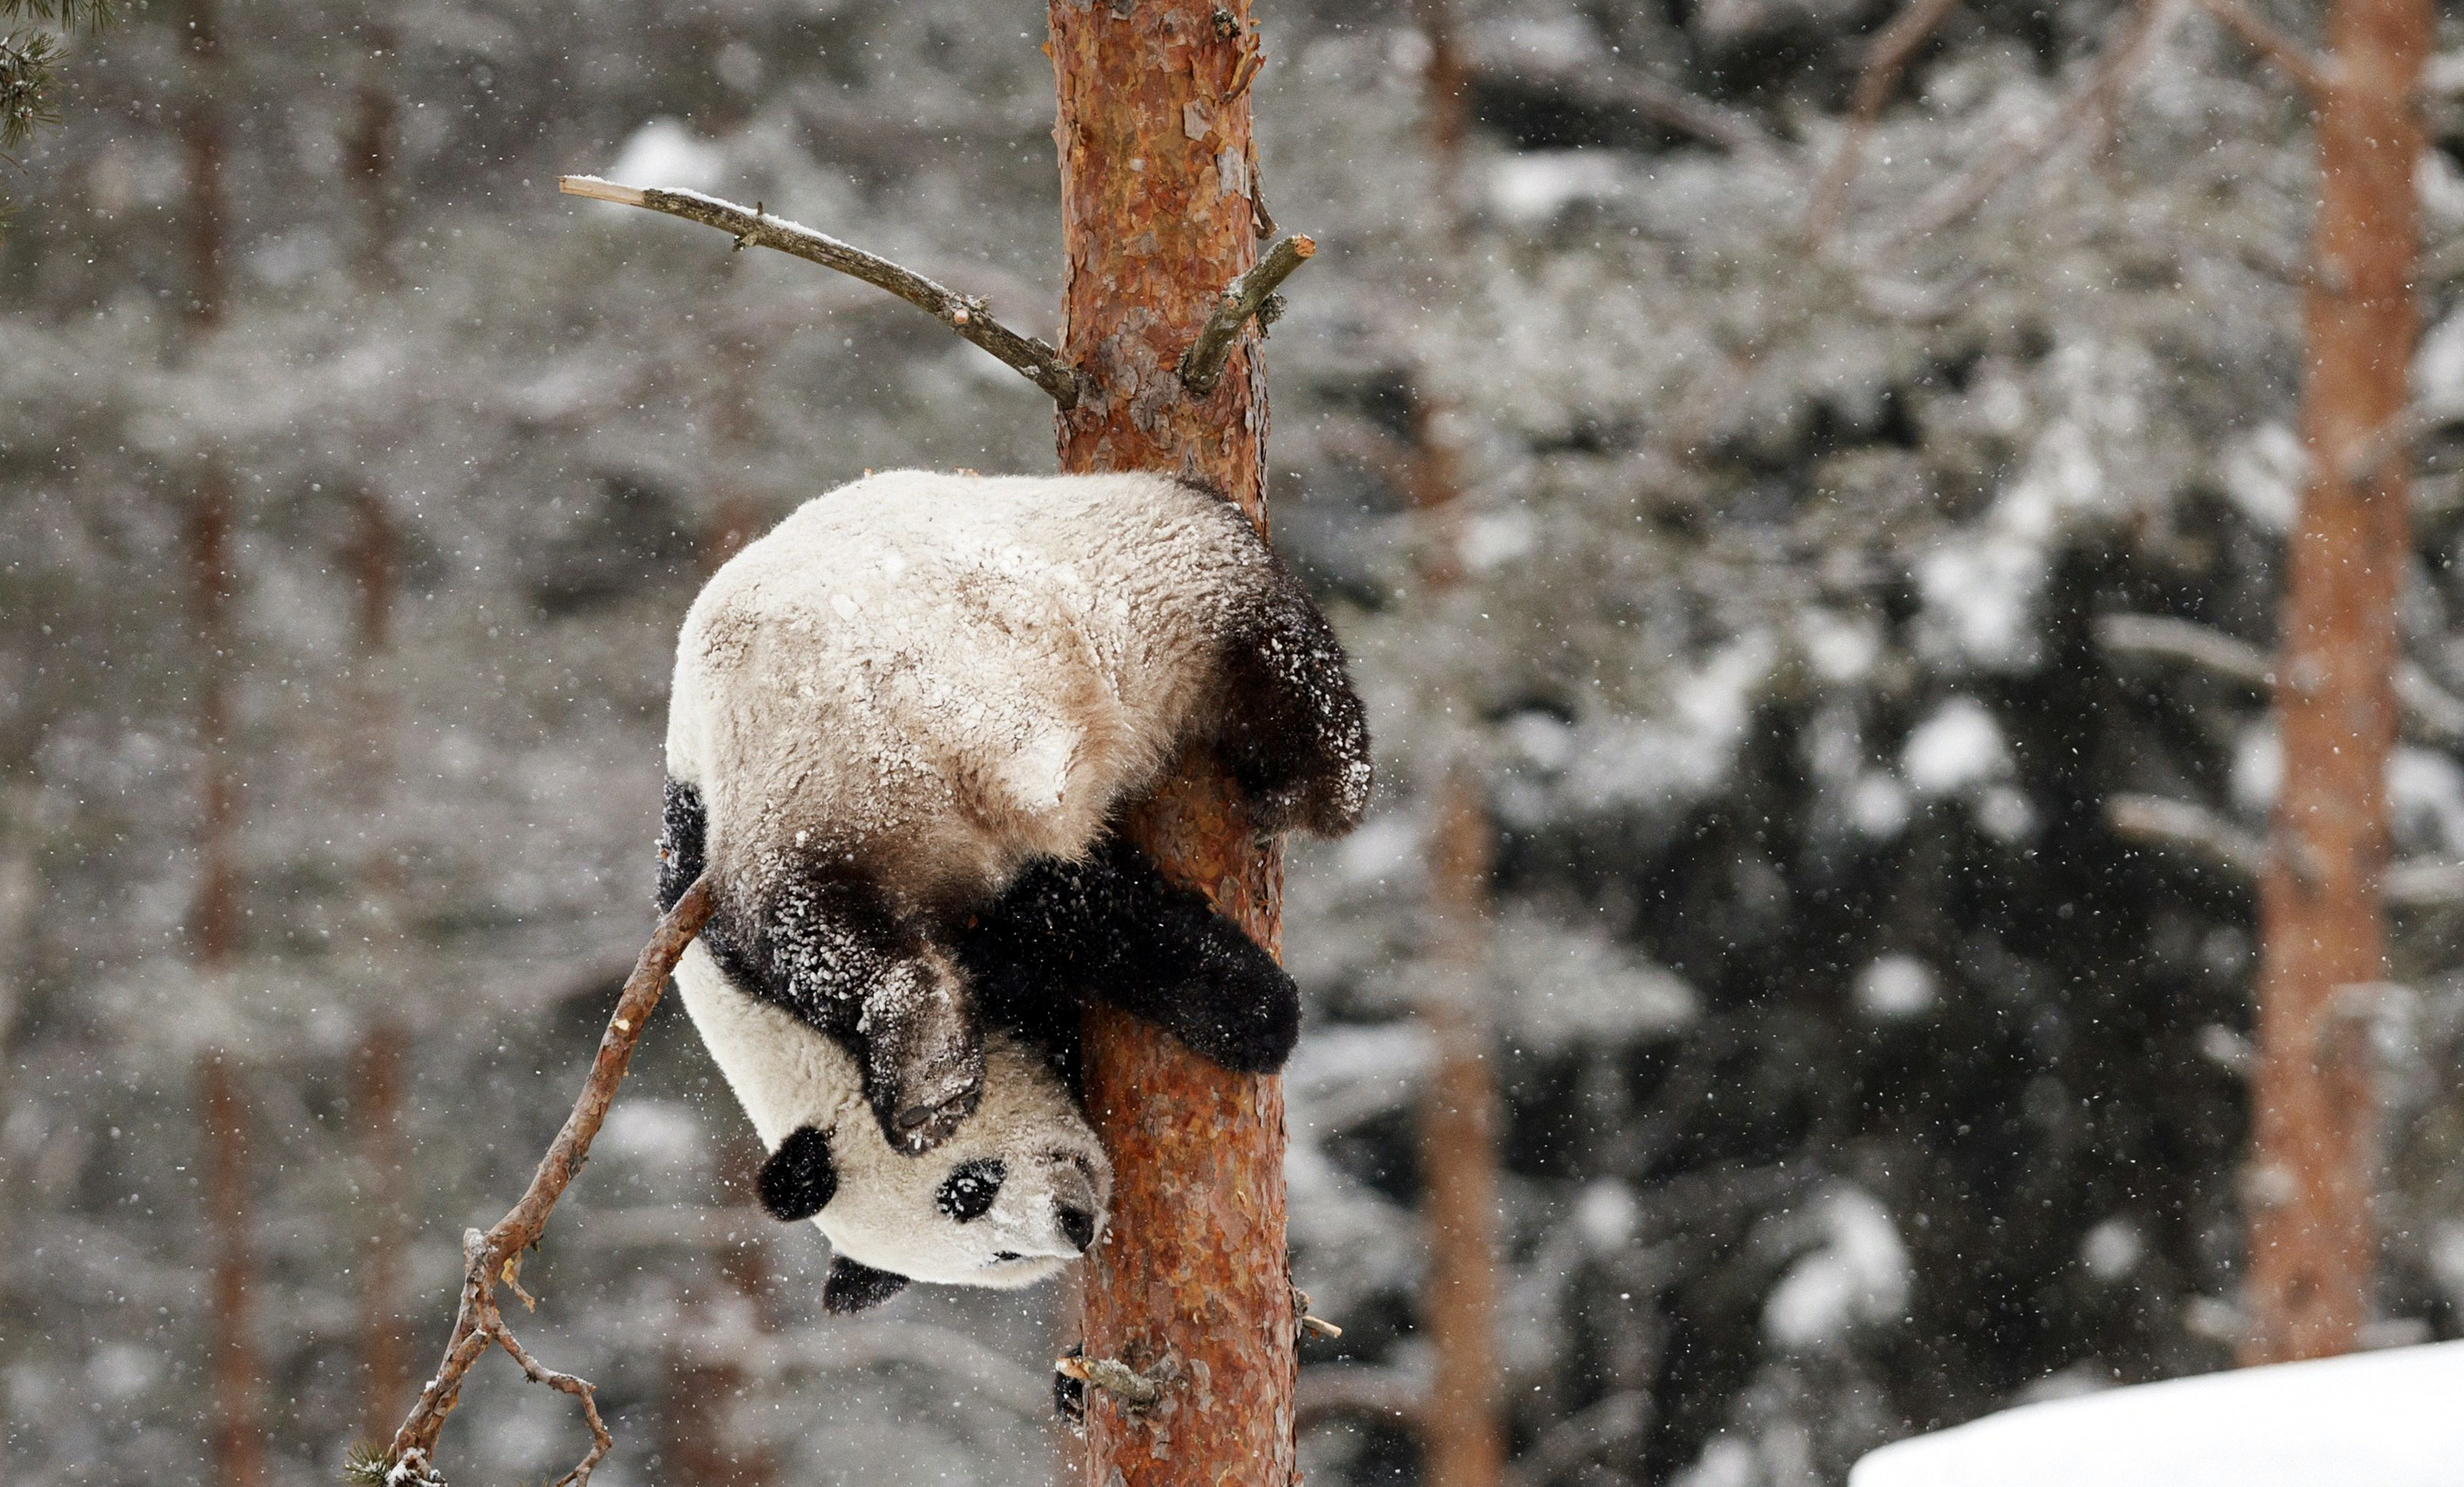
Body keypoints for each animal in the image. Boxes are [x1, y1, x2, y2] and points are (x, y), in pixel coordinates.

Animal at [656, 470, 1370, 1306]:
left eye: (969, 1188)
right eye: (998, 1251)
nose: (1074, 1224)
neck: (784, 1051)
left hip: (800, 776)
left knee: (823, 925)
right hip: (1114, 608)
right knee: (1262, 660)